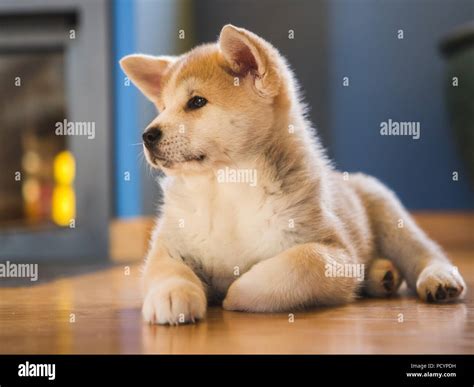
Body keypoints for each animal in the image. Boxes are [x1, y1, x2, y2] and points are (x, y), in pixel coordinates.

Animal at [119, 25, 466, 326]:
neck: (227, 188)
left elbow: (299, 262)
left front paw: (235, 294)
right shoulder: (170, 242)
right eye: (164, 107)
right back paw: (383, 275)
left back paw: (439, 277)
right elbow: (167, 269)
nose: (147, 136)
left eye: (196, 102)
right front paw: (172, 295)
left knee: (422, 250)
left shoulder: (336, 252)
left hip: (386, 209)